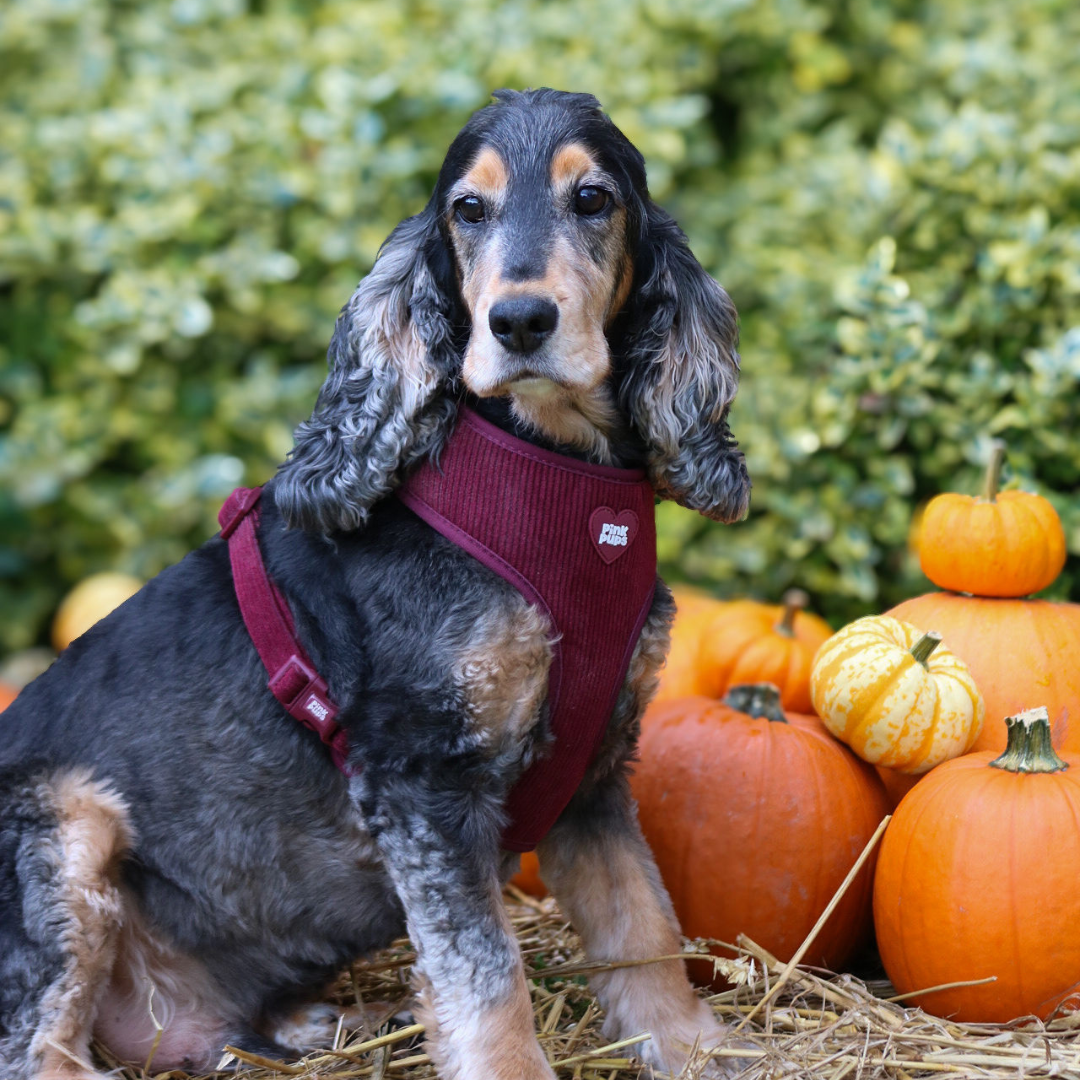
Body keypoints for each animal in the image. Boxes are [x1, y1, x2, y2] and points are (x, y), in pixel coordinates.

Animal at [0, 90, 751, 1080]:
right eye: (467, 210)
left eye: (593, 198)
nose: (519, 321)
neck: (556, 477)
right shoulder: (423, 775)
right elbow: (485, 968)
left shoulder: (594, 775)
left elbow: (641, 920)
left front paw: (693, 1047)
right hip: (62, 828)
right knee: (38, 1046)